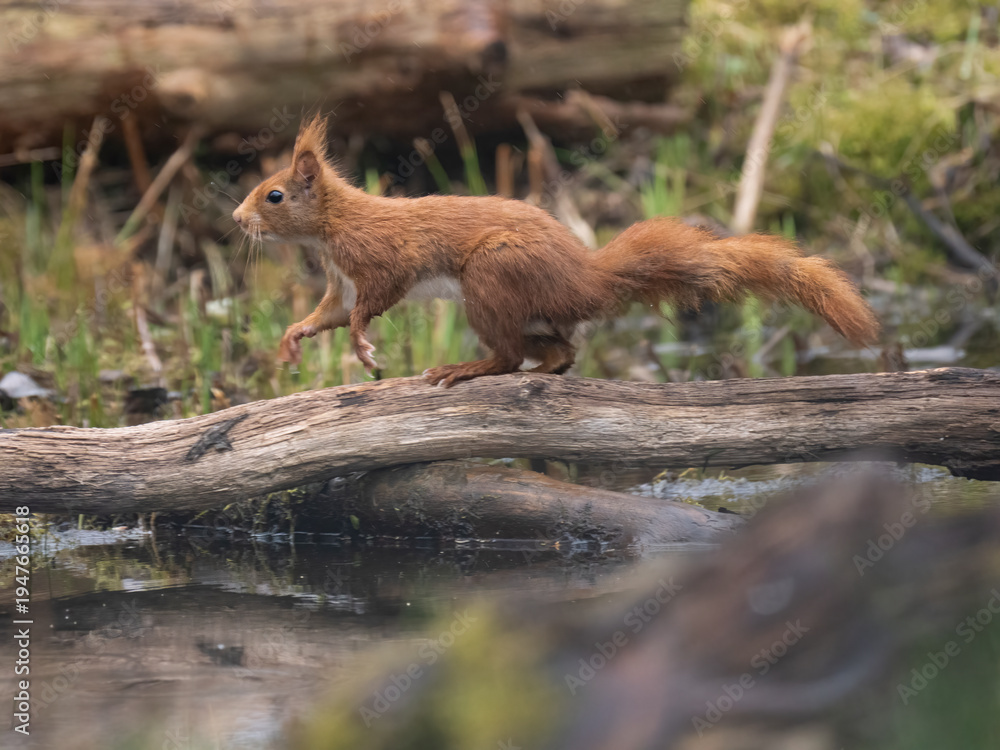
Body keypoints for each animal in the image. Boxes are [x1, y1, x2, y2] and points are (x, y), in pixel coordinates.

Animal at [233, 116, 879, 387]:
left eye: (274, 194)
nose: (236, 218)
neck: (331, 232)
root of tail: (584, 277)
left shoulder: (381, 257)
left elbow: (371, 304)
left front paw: (364, 346)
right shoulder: (339, 280)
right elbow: (328, 314)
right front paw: (293, 339)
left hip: (491, 277)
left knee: (507, 356)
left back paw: (462, 368)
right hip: (529, 308)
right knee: (559, 350)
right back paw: (544, 366)